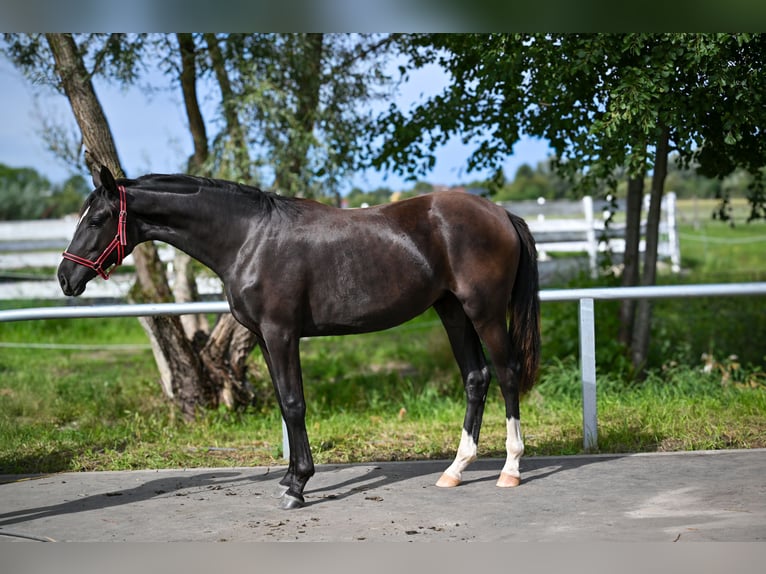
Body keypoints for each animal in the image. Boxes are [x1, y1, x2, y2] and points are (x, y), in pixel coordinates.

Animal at [58, 165, 541, 509]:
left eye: (98, 219)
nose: (65, 278)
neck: (248, 238)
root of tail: (501, 213)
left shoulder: (281, 333)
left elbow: (293, 404)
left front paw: (297, 487)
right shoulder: (264, 338)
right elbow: (285, 405)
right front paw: (291, 478)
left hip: (483, 311)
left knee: (507, 373)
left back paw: (511, 469)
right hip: (452, 311)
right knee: (476, 377)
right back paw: (455, 470)